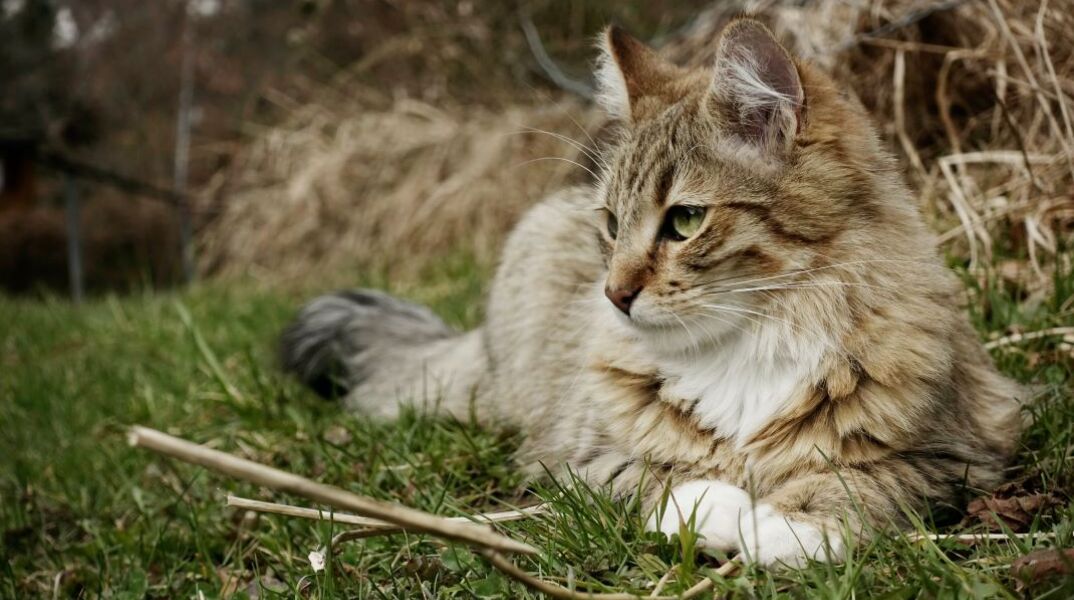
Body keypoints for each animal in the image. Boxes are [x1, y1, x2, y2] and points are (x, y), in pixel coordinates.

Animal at [279, 16, 1022, 566]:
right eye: (612, 223)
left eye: (685, 220)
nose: (613, 295)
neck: (754, 333)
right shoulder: (577, 460)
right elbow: (667, 478)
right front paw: (723, 512)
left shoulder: (957, 453)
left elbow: (857, 482)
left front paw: (786, 529)